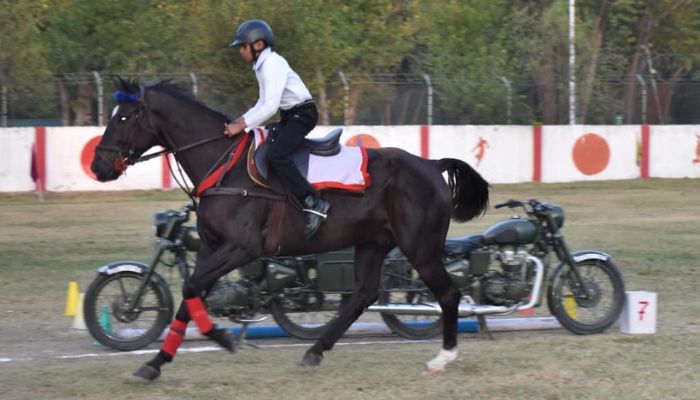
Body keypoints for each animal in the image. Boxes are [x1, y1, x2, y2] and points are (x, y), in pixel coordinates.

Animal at [91, 78, 486, 382]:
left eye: (123, 116)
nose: (98, 166)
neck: (224, 165)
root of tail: (432, 165)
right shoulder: (211, 248)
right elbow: (191, 297)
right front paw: (156, 363)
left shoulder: (241, 248)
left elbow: (191, 289)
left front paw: (222, 336)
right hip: (372, 244)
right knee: (362, 296)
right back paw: (315, 350)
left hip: (420, 247)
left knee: (448, 294)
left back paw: (442, 358)